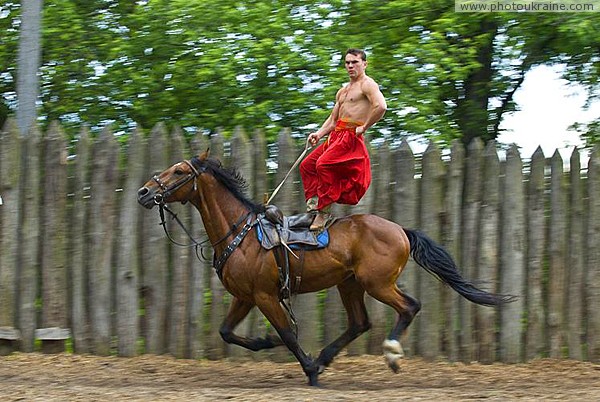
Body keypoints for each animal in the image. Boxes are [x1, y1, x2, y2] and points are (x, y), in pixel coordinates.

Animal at [137, 151, 516, 386]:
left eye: (179, 171)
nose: (143, 192)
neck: (239, 231)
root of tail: (400, 230)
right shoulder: (245, 296)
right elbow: (227, 332)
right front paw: (268, 341)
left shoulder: (264, 296)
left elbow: (288, 334)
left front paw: (308, 370)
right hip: (349, 284)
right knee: (360, 322)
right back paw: (326, 357)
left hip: (377, 283)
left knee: (410, 307)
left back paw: (390, 354)